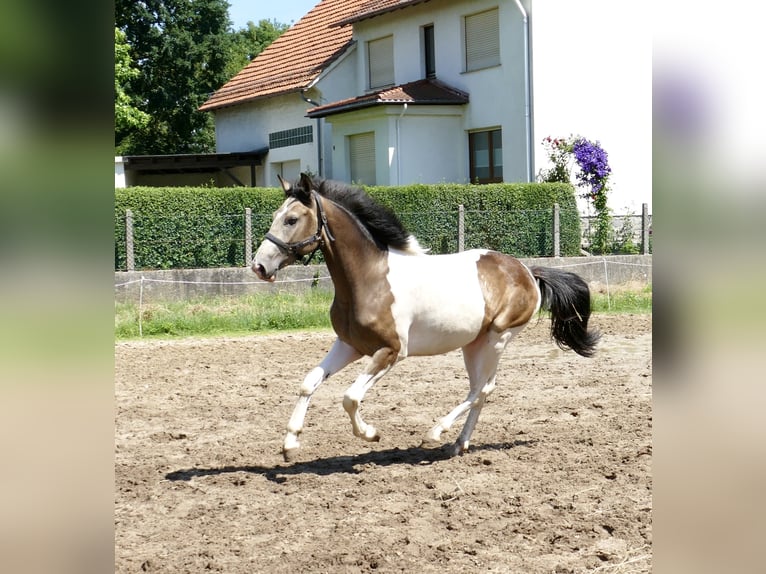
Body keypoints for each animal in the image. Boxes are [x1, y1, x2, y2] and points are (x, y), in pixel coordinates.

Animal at [253, 173, 599, 461]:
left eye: (292, 219)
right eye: (275, 217)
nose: (259, 266)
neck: (369, 277)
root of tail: (527, 270)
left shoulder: (391, 351)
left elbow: (350, 397)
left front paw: (370, 434)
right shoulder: (350, 345)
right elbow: (308, 383)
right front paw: (290, 444)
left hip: (498, 338)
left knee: (482, 389)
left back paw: (434, 434)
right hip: (473, 344)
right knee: (480, 390)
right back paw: (458, 444)